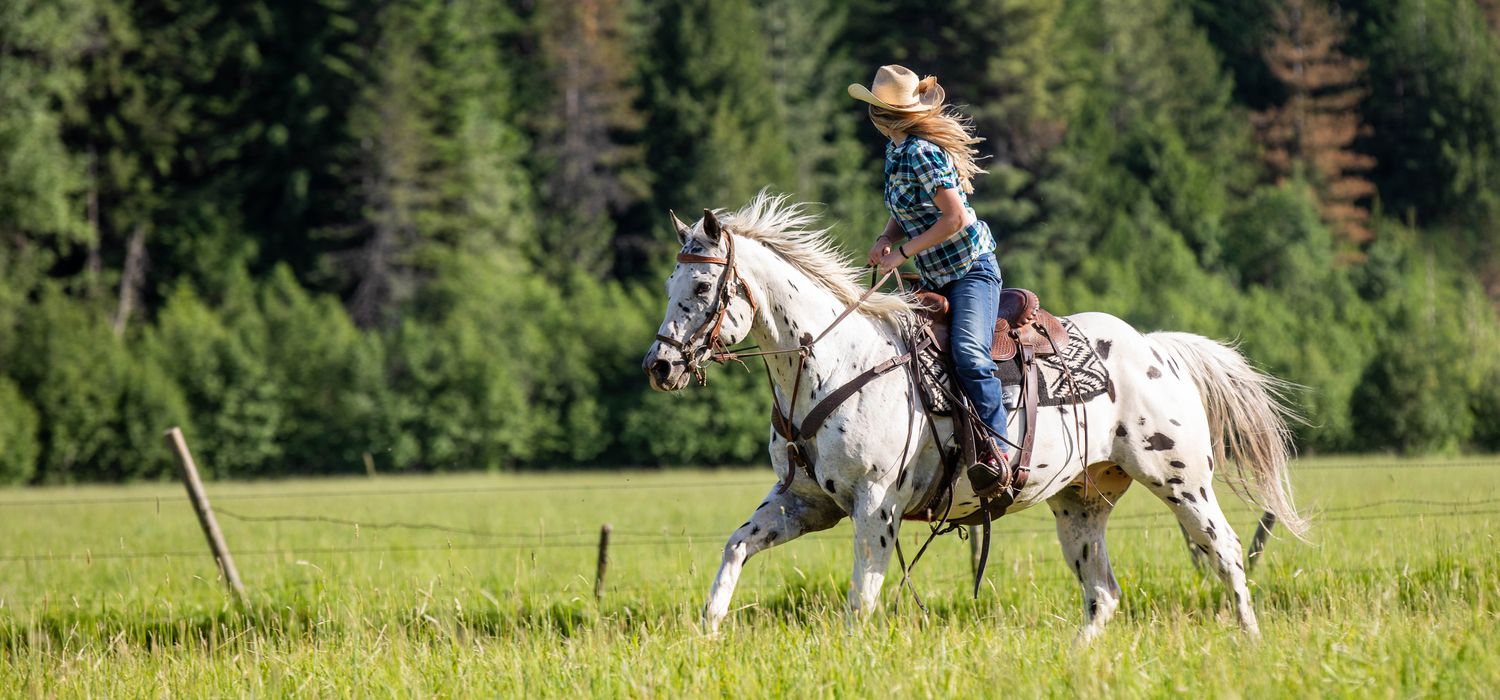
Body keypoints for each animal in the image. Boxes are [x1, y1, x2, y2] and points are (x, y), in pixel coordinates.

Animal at [639, 191, 1308, 641]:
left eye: (701, 288)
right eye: (671, 282)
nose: (660, 366)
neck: (834, 359)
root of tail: (1157, 349)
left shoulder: (875, 506)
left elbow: (862, 601)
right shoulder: (805, 502)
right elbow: (735, 549)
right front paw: (708, 632)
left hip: (1181, 482)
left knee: (1226, 554)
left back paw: (1249, 642)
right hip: (1081, 504)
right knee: (1104, 595)